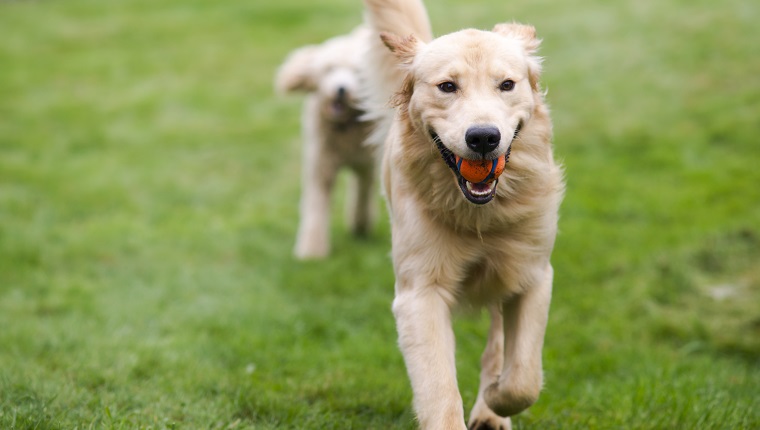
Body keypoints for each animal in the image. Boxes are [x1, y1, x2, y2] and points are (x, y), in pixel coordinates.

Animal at [276, 27, 378, 262]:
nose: (341, 89)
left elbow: (363, 193)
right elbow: (316, 206)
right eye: (329, 69)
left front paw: (360, 225)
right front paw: (311, 252)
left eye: (356, 73)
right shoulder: (320, 165)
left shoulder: (366, 164)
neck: (345, 127)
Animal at [362, 0, 564, 428]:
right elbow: (439, 389)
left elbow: (524, 378)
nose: (484, 137)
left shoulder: (534, 274)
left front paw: (496, 398)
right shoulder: (420, 293)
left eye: (507, 85)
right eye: (447, 86)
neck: (480, 217)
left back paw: (490, 409)